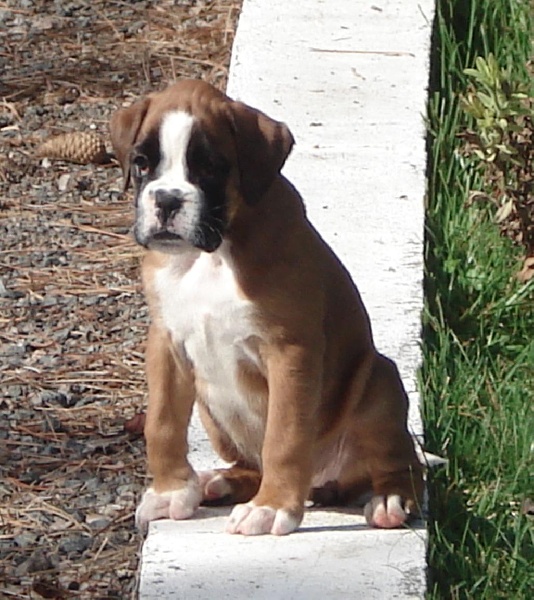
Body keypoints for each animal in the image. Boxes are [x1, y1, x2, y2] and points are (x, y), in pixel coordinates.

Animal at [110, 79, 424, 536]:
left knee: (403, 464)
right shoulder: (166, 342)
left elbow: (284, 436)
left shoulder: (289, 352)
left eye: (209, 167)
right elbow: (162, 423)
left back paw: (390, 500)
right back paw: (219, 482)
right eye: (142, 163)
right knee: (249, 464)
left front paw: (273, 506)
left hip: (379, 384)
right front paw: (171, 492)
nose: (167, 200)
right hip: (213, 413)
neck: (213, 252)